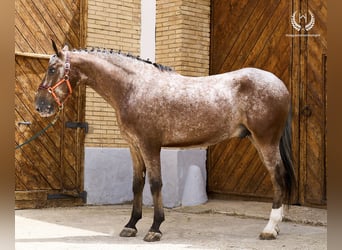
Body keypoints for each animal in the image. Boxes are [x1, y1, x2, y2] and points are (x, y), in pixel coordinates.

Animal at [35, 41, 296, 242]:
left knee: (278, 176)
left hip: (265, 141)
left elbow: (155, 184)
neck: (134, 87)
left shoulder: (150, 145)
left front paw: (155, 228)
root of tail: (280, 85)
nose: (40, 106)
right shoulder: (134, 146)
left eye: (52, 69)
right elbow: (137, 184)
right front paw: (131, 225)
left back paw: (270, 229)